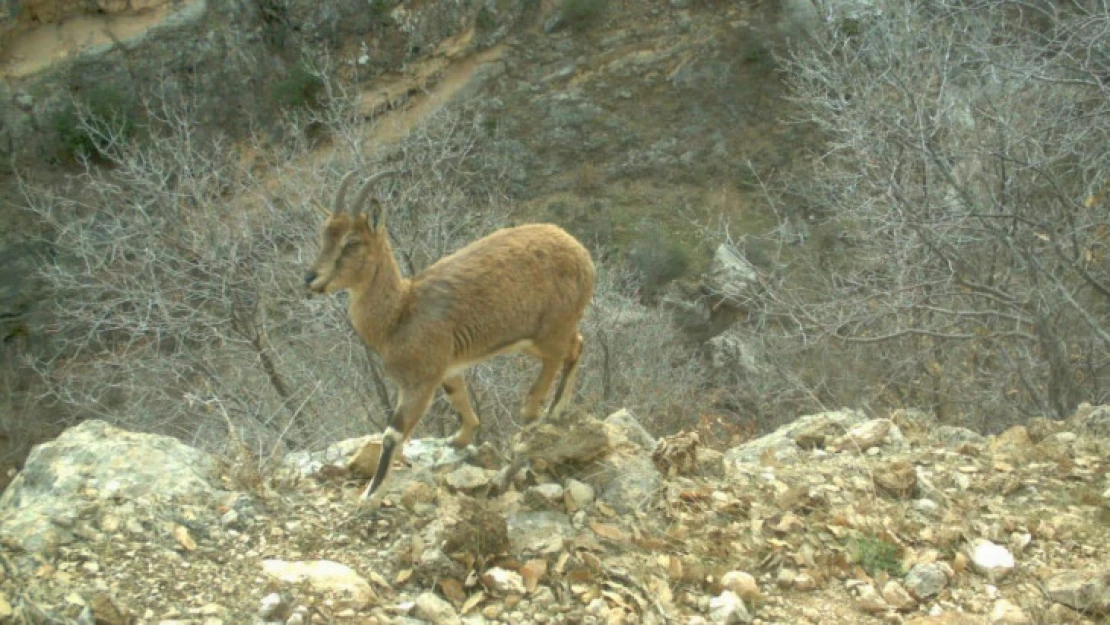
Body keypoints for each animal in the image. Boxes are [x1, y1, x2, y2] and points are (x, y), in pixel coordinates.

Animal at [304, 170, 599, 503]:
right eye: (324, 236)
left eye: (352, 242)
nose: (311, 279)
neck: (400, 312)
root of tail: (581, 253)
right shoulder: (447, 369)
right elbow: (457, 398)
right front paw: (459, 439)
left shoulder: (420, 380)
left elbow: (392, 434)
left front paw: (370, 495)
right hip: (542, 336)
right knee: (577, 346)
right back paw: (554, 409)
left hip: (547, 333)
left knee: (556, 360)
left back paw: (539, 411)